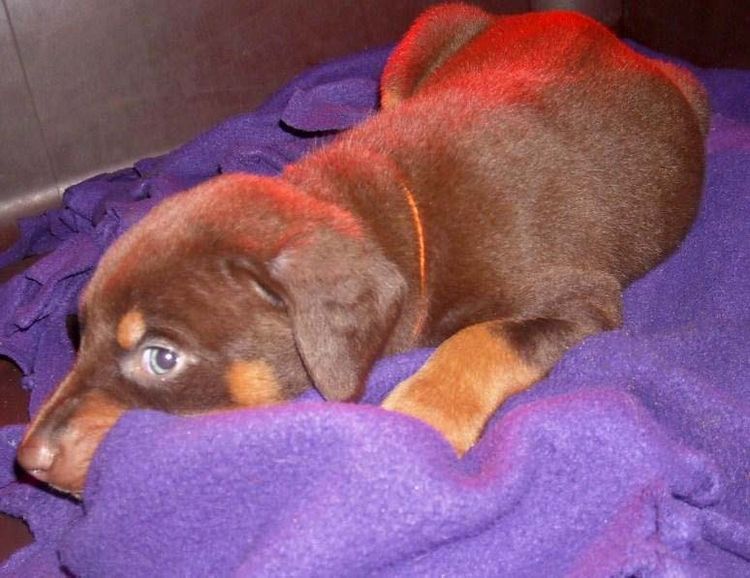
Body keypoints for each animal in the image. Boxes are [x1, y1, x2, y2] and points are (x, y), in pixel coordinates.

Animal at [17, 2, 712, 492]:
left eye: (161, 358)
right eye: (79, 334)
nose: (27, 461)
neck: (403, 218)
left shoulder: (580, 297)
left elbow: (480, 340)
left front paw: (415, 418)